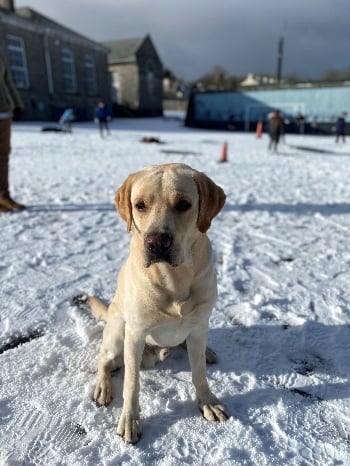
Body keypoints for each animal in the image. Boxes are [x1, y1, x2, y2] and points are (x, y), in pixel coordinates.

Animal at [85, 162, 228, 442]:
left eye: (183, 204)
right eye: (140, 205)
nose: (156, 242)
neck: (174, 278)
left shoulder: (198, 326)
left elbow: (199, 373)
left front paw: (207, 401)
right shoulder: (135, 334)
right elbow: (131, 384)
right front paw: (130, 420)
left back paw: (207, 351)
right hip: (117, 331)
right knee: (104, 360)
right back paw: (103, 387)